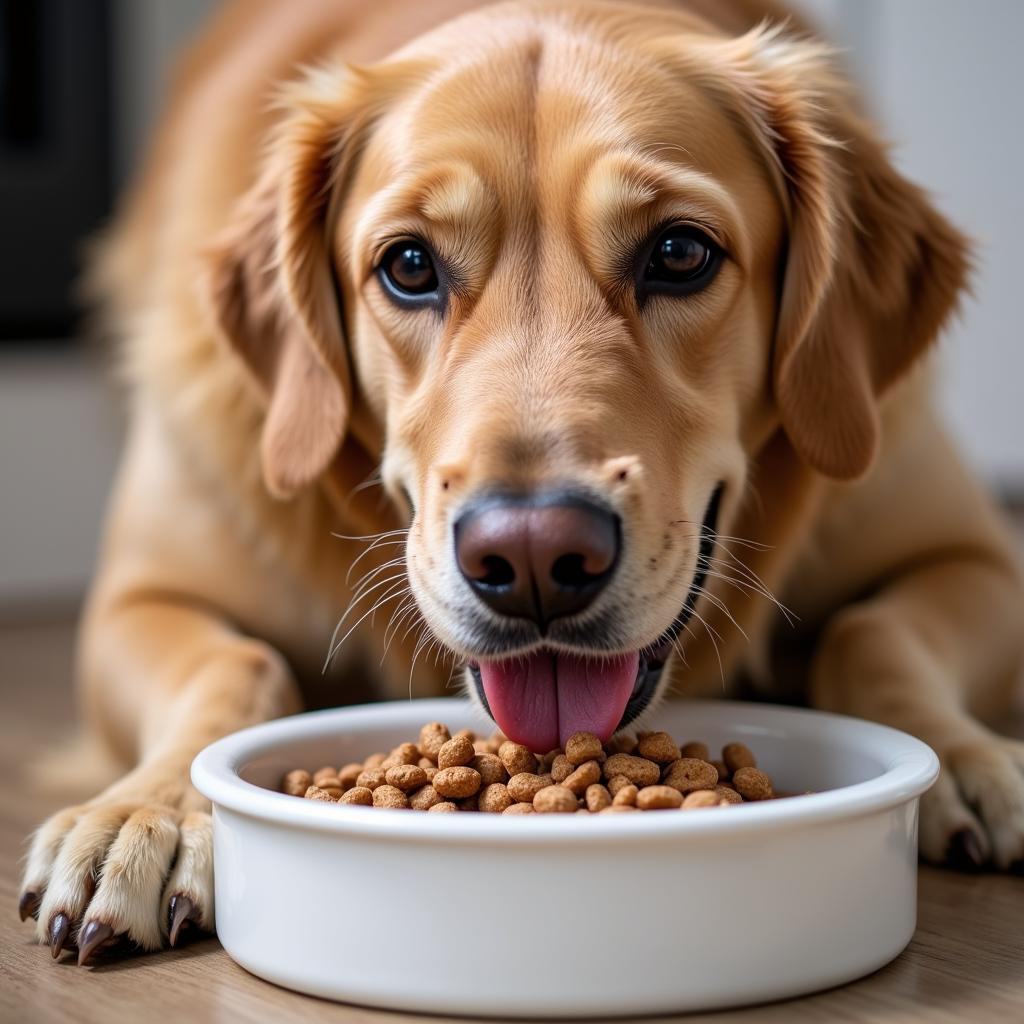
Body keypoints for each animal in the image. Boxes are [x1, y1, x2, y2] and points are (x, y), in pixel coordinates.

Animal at [18, 0, 1024, 962]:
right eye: (409, 265)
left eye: (680, 253)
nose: (536, 558)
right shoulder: (143, 597)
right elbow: (235, 663)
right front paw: (146, 815)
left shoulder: (973, 558)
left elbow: (871, 632)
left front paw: (971, 757)